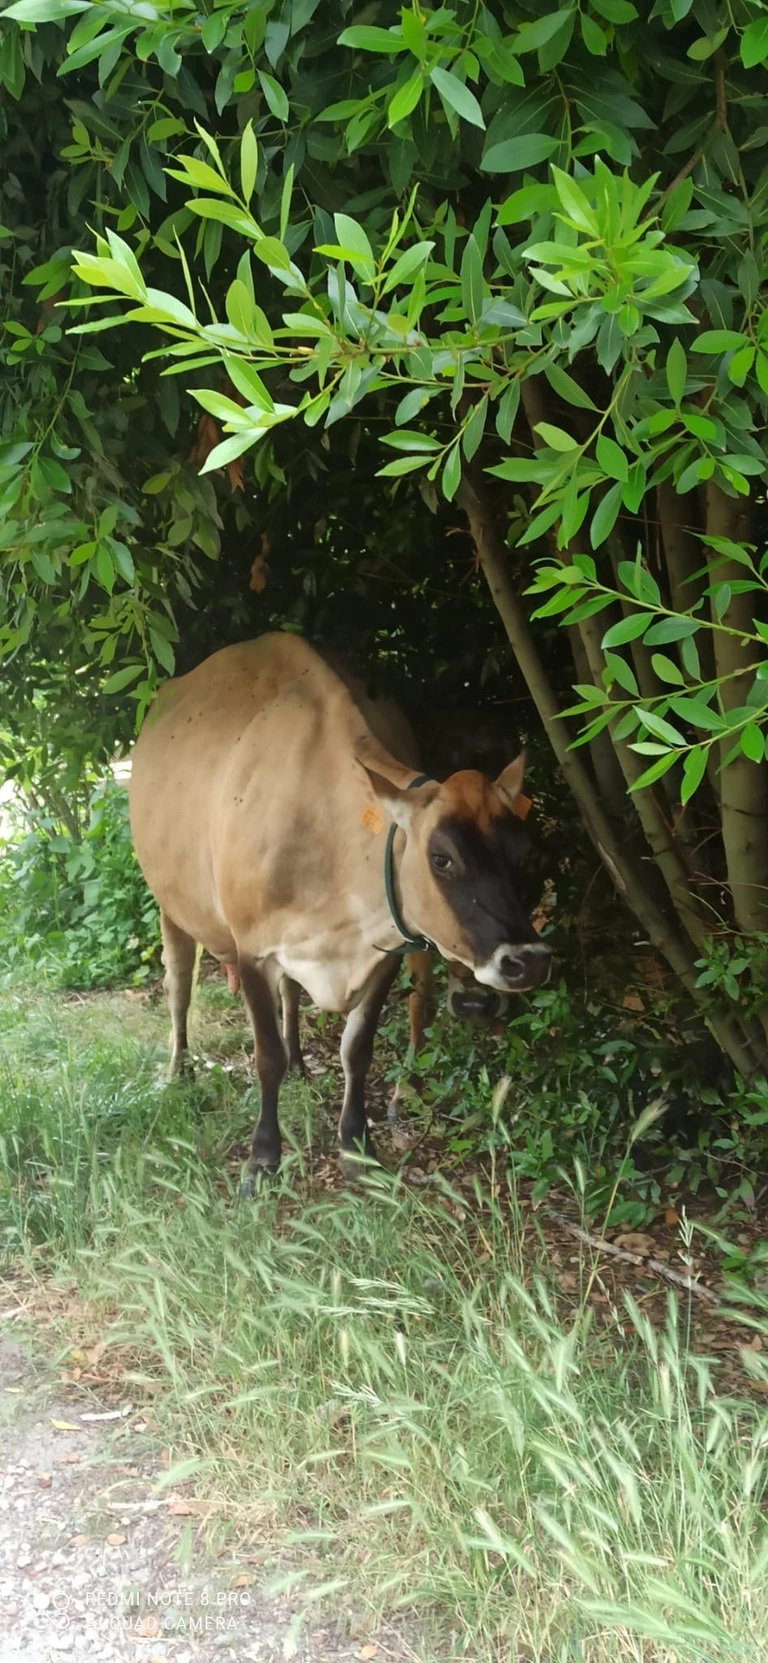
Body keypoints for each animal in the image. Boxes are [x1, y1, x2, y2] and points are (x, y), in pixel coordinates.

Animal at [128, 634, 551, 1192]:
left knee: (290, 995)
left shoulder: (386, 949)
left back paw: (301, 1062)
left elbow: (357, 1049)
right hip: (169, 903)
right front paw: (262, 1157)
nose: (528, 962)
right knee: (178, 987)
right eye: (442, 858)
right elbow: (264, 1057)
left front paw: (355, 1145)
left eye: (528, 856)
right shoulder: (251, 948)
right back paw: (178, 1071)